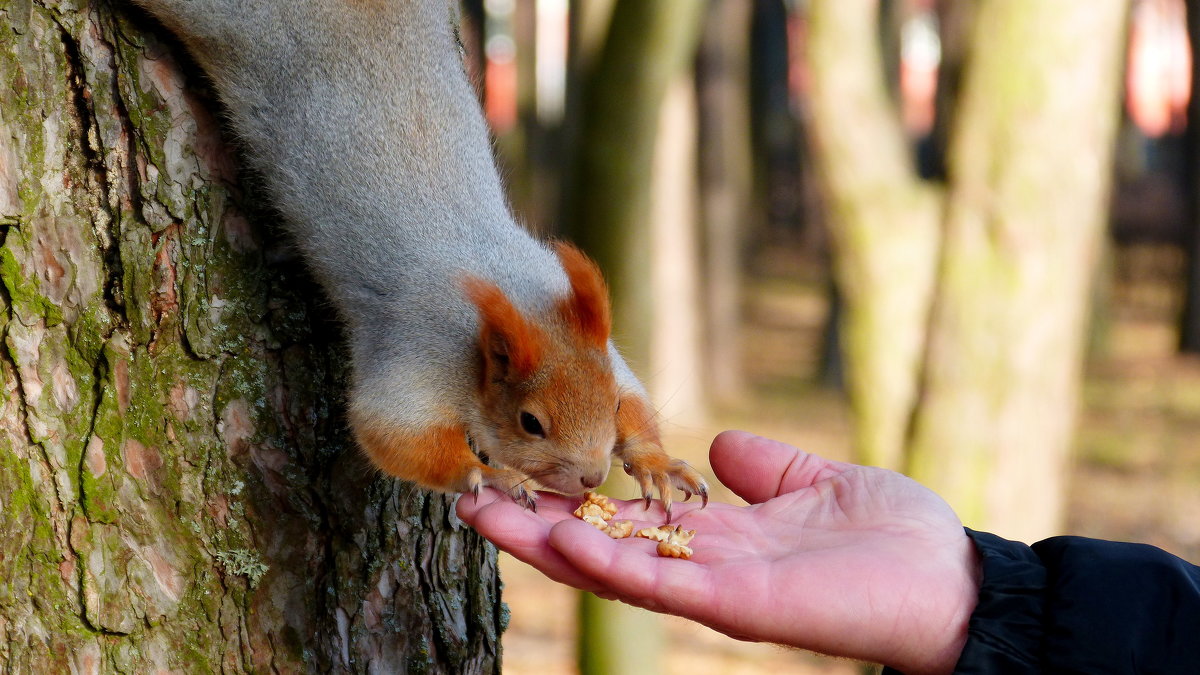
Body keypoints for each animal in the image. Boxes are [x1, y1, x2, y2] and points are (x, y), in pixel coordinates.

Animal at [132, 0, 705, 514]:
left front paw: (656, 461)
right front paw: (491, 475)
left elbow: (638, 399)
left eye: (610, 403)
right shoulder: (423, 348)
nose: (592, 476)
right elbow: (389, 429)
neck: (516, 300)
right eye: (530, 422)